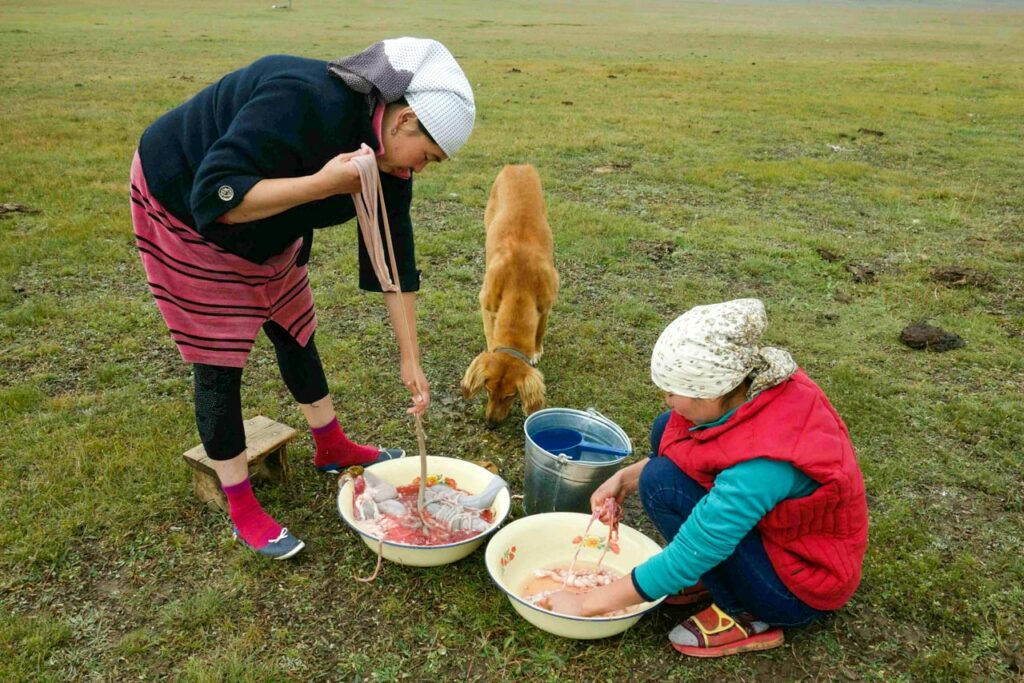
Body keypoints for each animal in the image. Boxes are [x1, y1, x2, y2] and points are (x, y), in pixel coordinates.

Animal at [462, 162, 561, 423]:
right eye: (487, 390)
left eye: (510, 396)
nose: (490, 425)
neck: (519, 289)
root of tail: (518, 166)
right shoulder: (486, 303)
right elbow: (490, 332)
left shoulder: (545, 305)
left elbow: (540, 331)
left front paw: (536, 351)